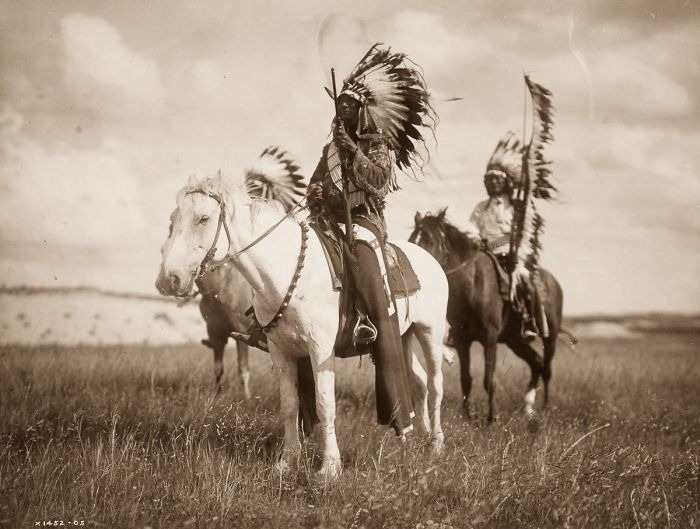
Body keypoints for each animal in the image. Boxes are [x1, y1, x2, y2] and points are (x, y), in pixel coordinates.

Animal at [156, 171, 451, 479]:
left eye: (203, 218)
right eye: (173, 219)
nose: (169, 279)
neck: (286, 271)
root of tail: (429, 259)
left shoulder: (320, 350)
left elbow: (325, 404)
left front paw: (330, 467)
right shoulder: (281, 352)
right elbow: (289, 405)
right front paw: (287, 461)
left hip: (430, 333)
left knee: (435, 384)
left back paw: (435, 444)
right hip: (404, 337)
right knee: (419, 381)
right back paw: (416, 435)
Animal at [410, 209, 568, 423]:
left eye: (430, 240)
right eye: (412, 239)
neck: (473, 285)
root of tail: (554, 283)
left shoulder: (489, 338)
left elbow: (489, 380)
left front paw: (492, 418)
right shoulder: (461, 340)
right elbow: (466, 379)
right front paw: (467, 416)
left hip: (549, 337)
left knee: (547, 369)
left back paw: (546, 407)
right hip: (515, 341)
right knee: (537, 363)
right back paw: (528, 408)